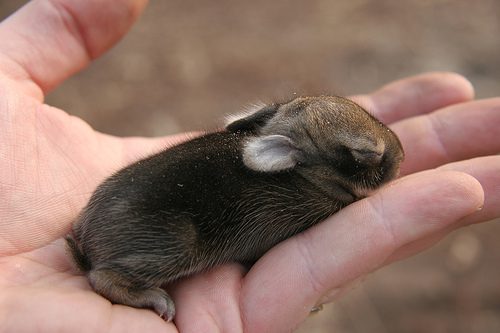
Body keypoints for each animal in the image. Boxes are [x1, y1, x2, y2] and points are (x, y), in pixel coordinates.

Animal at [66, 95, 404, 320]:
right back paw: (157, 301)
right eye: (363, 155)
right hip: (175, 246)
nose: (400, 155)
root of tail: (86, 240)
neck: (307, 173)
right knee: (102, 278)